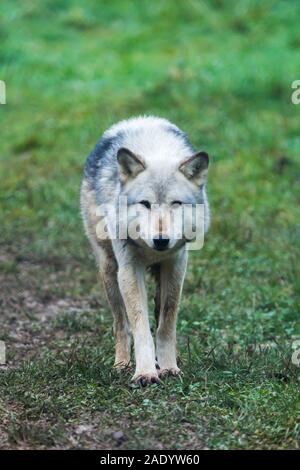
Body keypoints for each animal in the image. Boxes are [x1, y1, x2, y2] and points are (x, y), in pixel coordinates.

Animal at [81, 116, 210, 386]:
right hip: (109, 271)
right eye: (145, 204)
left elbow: (166, 324)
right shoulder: (130, 270)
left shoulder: (176, 265)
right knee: (121, 324)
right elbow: (140, 326)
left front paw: (169, 367)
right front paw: (145, 373)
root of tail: (139, 120)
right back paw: (121, 365)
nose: (161, 241)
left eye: (176, 203)